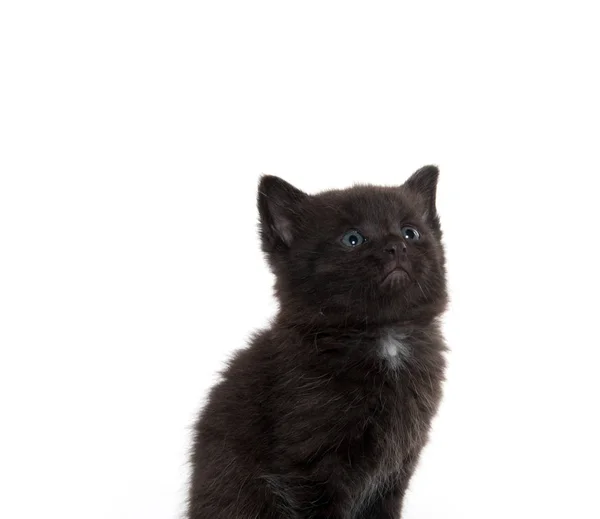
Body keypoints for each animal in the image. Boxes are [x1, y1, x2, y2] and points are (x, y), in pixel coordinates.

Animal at [190, 168, 448, 519]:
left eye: (410, 232)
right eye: (353, 239)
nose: (397, 246)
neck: (382, 336)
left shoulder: (394, 471)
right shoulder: (309, 468)